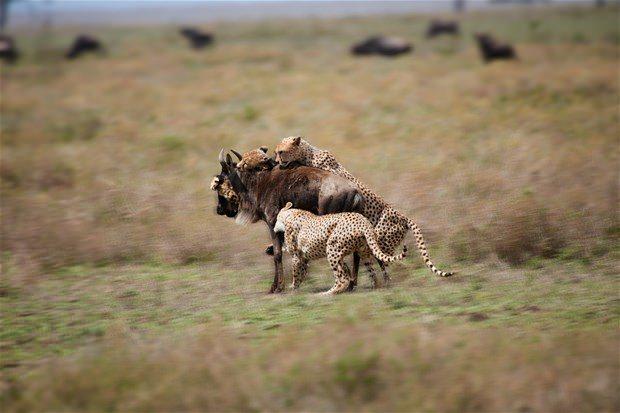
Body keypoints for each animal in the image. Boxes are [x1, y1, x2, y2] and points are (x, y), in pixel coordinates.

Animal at [274, 135, 452, 280]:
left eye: (281, 152)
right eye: (276, 152)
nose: (276, 161)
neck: (309, 153)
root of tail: (403, 216)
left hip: (380, 239)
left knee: (382, 259)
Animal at [274, 202, 406, 292]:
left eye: (276, 219)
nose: (274, 228)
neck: (290, 214)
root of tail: (363, 221)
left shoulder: (296, 256)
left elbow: (296, 273)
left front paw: (293, 288)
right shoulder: (304, 257)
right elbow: (303, 271)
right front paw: (297, 286)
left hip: (331, 247)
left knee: (341, 279)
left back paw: (327, 294)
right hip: (360, 251)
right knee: (372, 273)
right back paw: (375, 287)